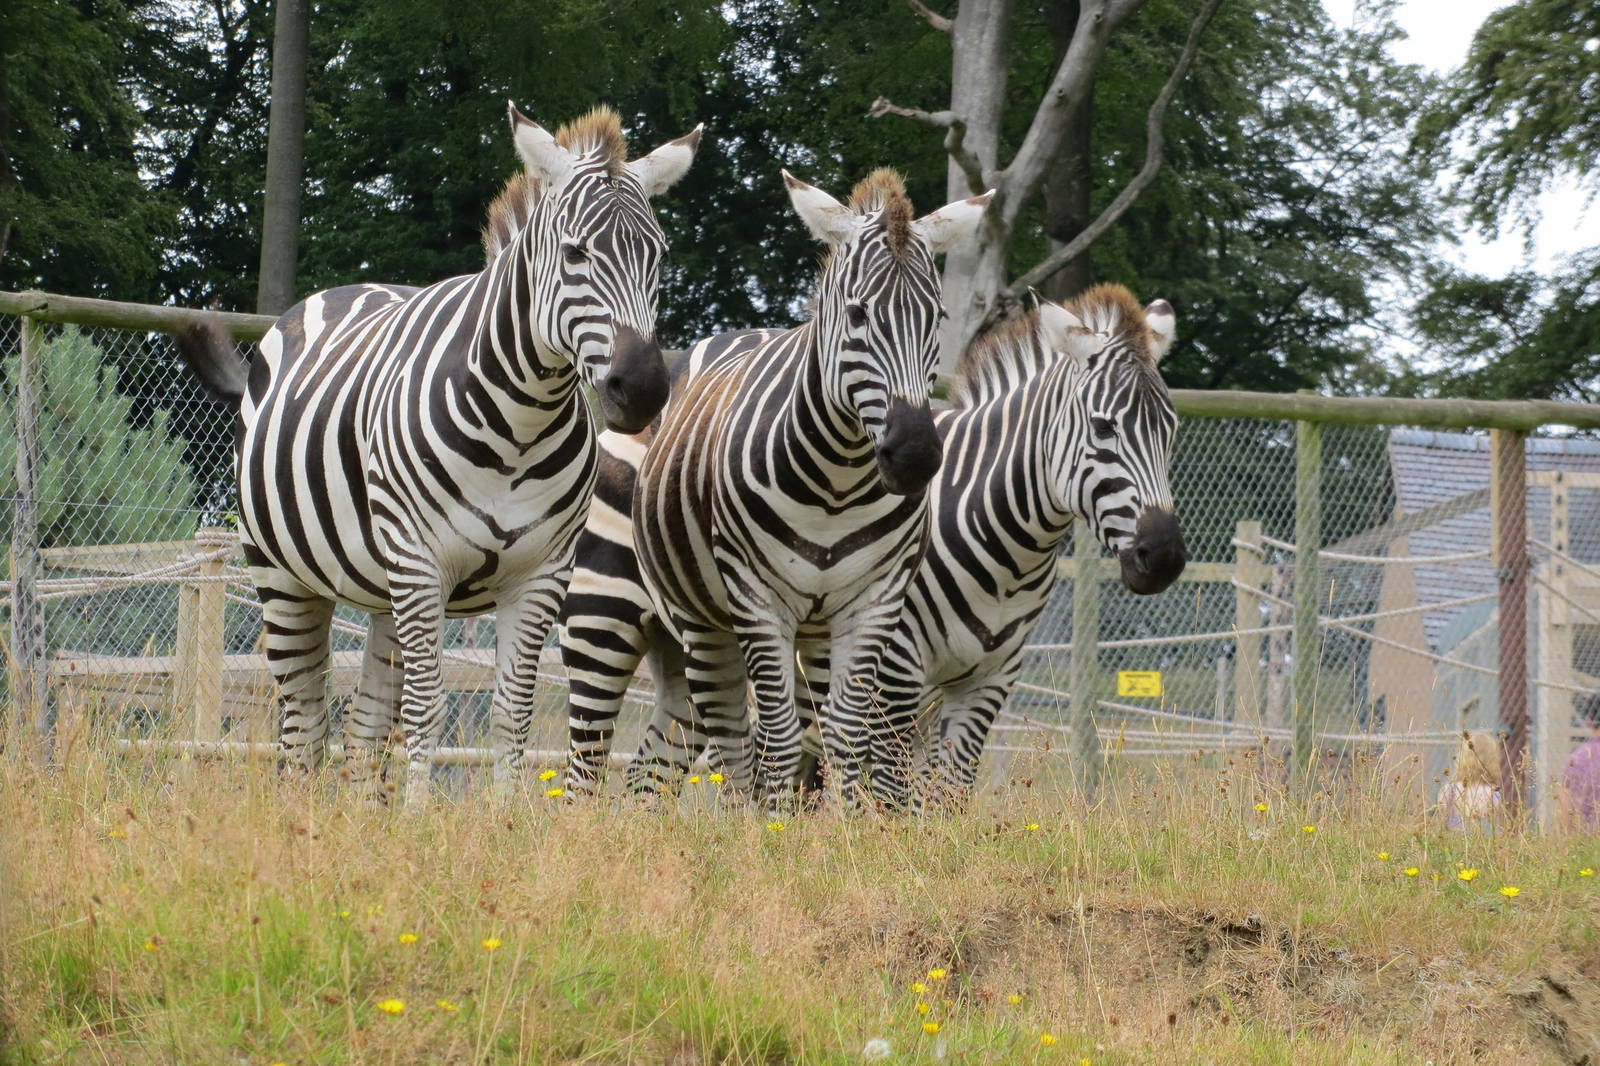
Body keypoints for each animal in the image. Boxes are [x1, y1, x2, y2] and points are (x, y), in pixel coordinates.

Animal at [175, 103, 700, 807]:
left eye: (658, 255)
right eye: (575, 253)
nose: (641, 388)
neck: (519, 425)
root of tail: (340, 291)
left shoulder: (540, 575)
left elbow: (511, 711)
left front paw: (504, 818)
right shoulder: (422, 564)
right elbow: (427, 709)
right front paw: (420, 817)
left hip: (380, 588)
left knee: (364, 721)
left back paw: (365, 815)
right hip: (283, 570)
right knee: (302, 719)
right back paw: (300, 813)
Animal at [561, 284, 1186, 809]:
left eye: (1171, 429)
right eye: (1103, 428)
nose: (1164, 557)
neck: (1008, 553)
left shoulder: (989, 680)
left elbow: (945, 800)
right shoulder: (896, 673)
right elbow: (889, 796)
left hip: (687, 644)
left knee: (650, 770)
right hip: (605, 613)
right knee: (584, 761)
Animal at [624, 168, 991, 811]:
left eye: (937, 318)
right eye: (858, 314)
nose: (916, 455)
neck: (836, 484)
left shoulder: (876, 599)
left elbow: (846, 732)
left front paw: (846, 824)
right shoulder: (757, 598)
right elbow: (777, 736)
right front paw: (772, 826)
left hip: (816, 628)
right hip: (701, 619)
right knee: (729, 736)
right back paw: (742, 818)